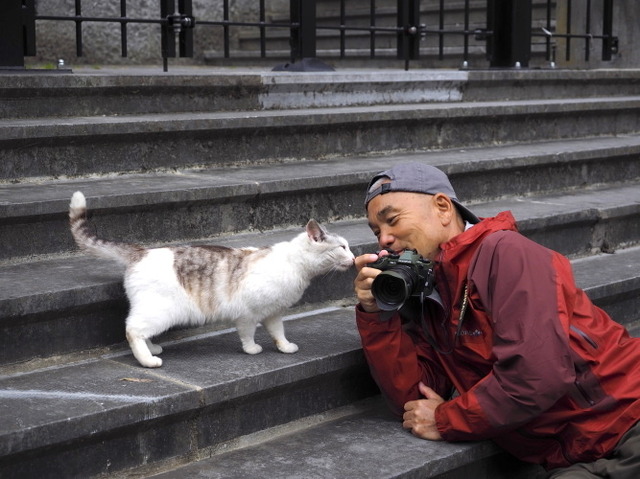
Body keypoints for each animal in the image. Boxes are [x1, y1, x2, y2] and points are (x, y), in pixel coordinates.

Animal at [70, 190, 356, 368]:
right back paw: (148, 361)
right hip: (160, 311)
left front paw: (285, 347)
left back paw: (153, 349)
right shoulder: (248, 314)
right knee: (132, 330)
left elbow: (278, 333)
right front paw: (252, 350)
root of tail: (141, 251)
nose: (354, 259)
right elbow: (248, 334)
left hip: (151, 311)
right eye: (342, 247)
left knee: (139, 329)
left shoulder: (274, 313)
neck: (295, 265)